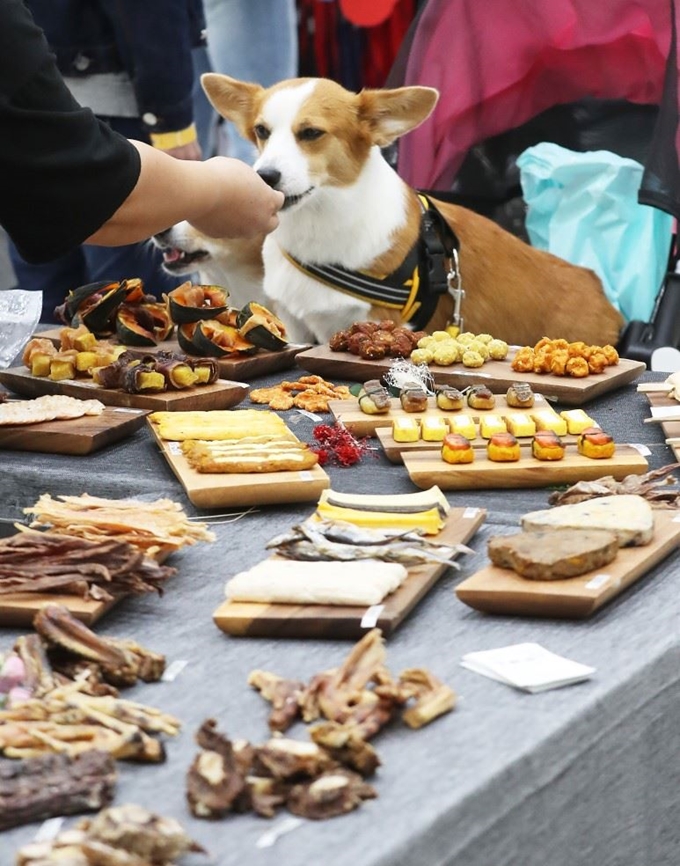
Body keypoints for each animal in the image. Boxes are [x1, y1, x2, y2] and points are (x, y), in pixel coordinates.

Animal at [171, 74, 628, 344]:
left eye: (311, 133)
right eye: (262, 132)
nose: (264, 176)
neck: (319, 226)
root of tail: (602, 295)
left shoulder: (376, 322)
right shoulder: (293, 324)